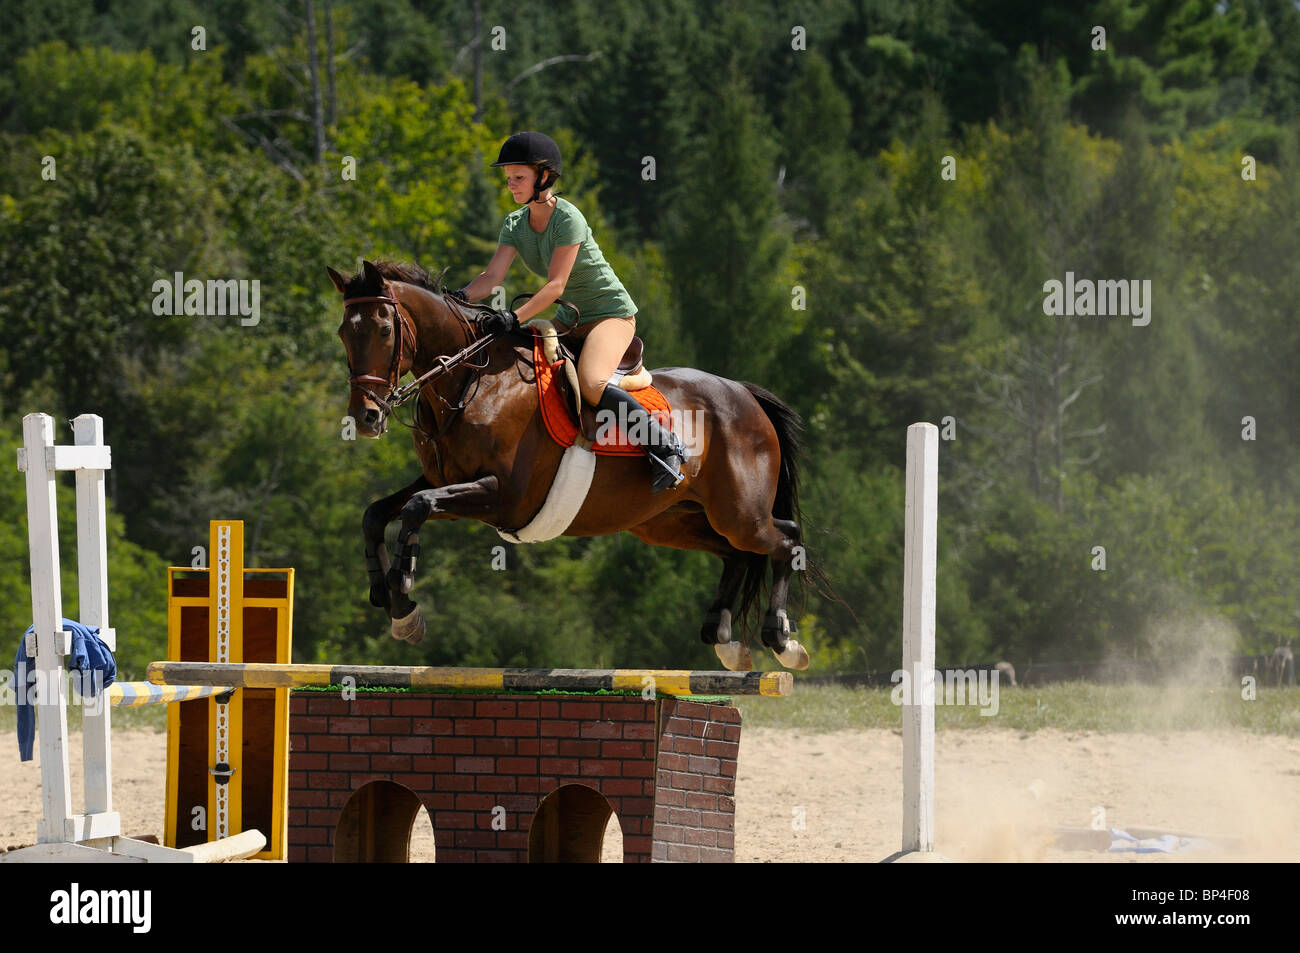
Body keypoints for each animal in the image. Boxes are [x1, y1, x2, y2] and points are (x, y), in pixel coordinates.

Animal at [330, 256, 806, 665]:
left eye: (384, 329)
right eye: (343, 333)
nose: (366, 416)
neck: (470, 383)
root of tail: (745, 393)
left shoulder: (503, 496)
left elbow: (417, 507)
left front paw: (403, 587)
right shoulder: (442, 480)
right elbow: (378, 513)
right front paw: (395, 604)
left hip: (738, 514)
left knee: (785, 538)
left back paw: (782, 641)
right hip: (668, 521)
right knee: (736, 554)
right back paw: (723, 639)